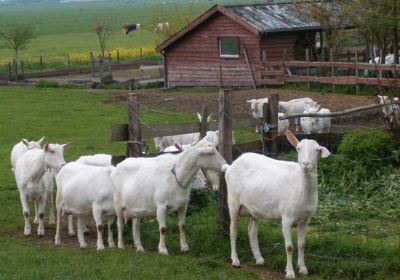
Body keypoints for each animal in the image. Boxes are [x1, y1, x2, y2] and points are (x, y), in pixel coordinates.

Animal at [225, 131, 332, 280]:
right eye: (298, 148)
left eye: (317, 150)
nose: (305, 164)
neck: (300, 189)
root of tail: (230, 166)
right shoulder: (286, 218)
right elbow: (289, 246)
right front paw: (290, 272)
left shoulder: (305, 219)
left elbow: (302, 245)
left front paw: (303, 268)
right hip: (233, 201)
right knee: (233, 230)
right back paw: (235, 260)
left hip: (254, 208)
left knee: (251, 231)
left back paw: (259, 259)